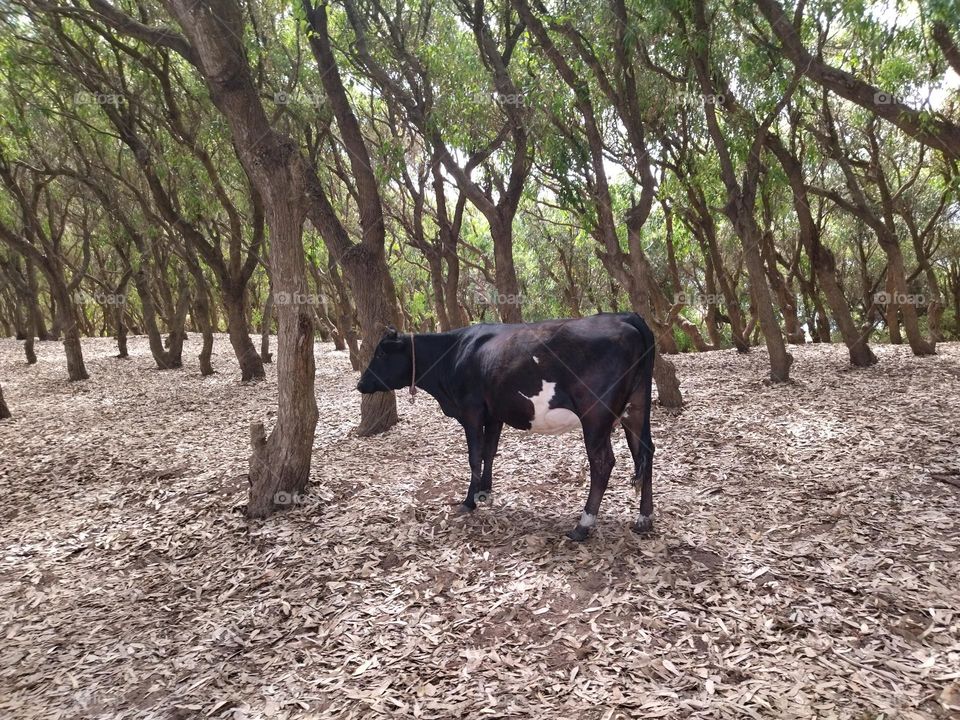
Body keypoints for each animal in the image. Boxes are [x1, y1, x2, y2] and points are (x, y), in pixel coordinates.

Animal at [356, 310, 656, 540]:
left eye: (381, 353)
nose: (361, 384)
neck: (453, 355)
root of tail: (625, 316)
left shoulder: (472, 410)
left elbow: (474, 456)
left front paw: (469, 501)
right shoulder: (494, 414)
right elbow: (489, 453)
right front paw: (484, 492)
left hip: (595, 414)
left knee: (603, 462)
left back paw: (583, 525)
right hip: (636, 407)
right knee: (646, 451)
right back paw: (644, 518)